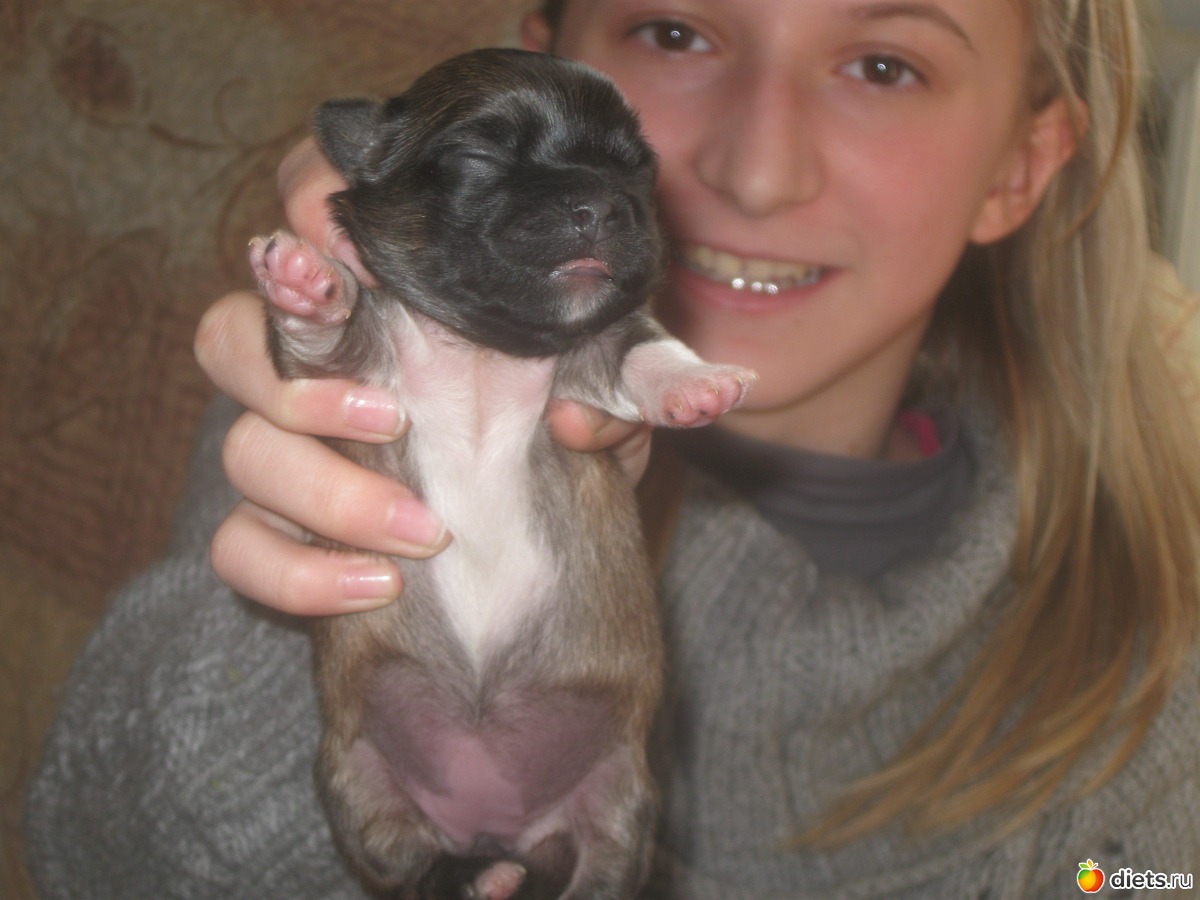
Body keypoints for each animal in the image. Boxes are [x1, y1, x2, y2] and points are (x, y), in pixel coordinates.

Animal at [249, 48, 754, 899]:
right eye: (478, 156)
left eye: (637, 170)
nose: (601, 204)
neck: (491, 350)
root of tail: (496, 828)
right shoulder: (359, 371)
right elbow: (324, 340)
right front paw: (303, 282)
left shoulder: (590, 359)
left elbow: (643, 346)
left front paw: (699, 385)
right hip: (356, 778)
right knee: (406, 862)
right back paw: (472, 876)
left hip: (621, 798)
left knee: (599, 869)